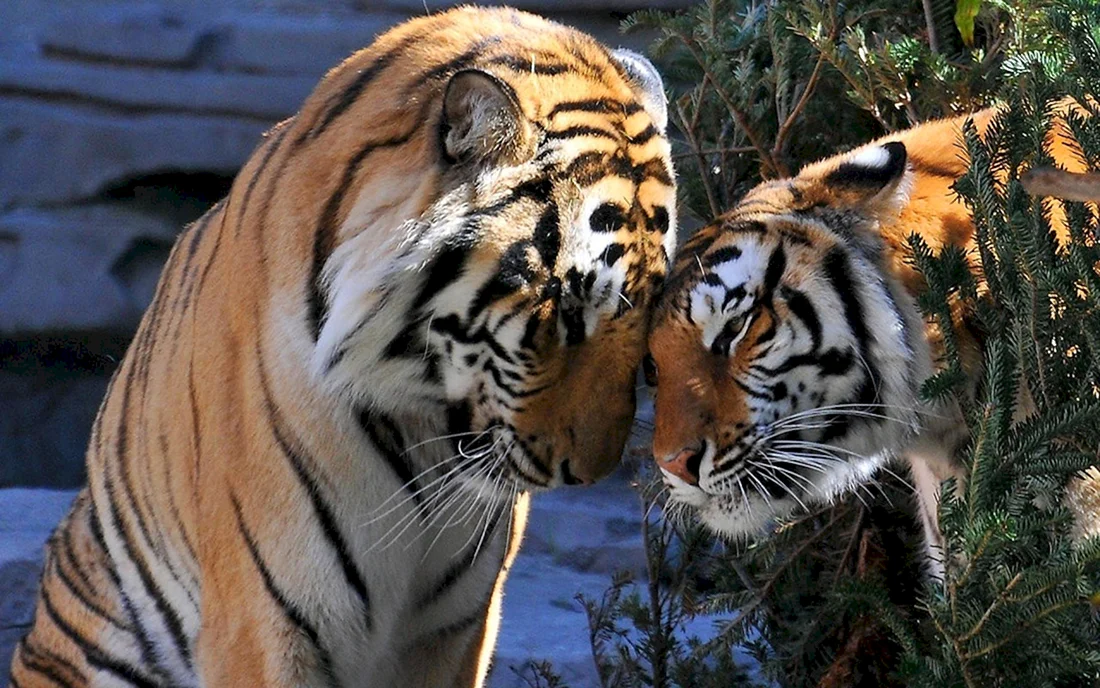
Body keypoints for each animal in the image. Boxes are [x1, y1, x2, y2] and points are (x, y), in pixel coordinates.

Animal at [8, 7, 676, 688]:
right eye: (567, 305)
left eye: (651, 305)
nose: (589, 473)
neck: (422, 430)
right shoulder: (264, 620)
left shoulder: (457, 627)